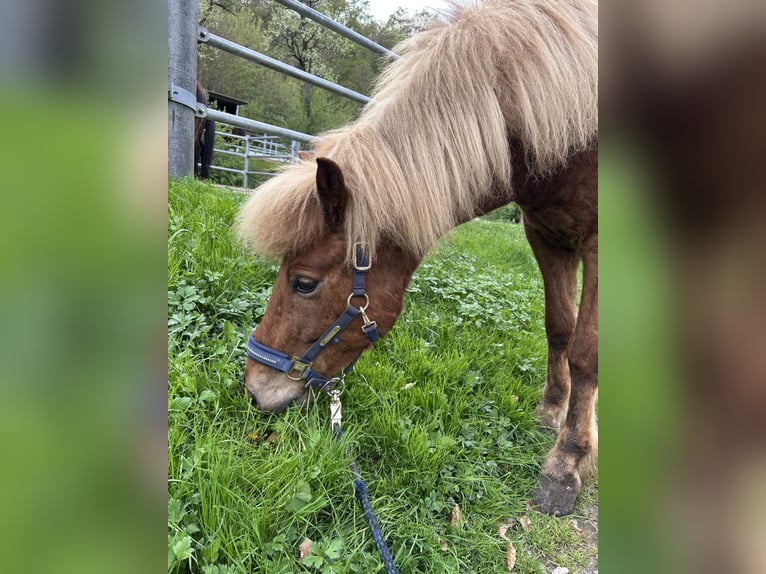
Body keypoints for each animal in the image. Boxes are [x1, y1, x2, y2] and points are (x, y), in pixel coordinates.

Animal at [236, 0, 598, 517]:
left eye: (303, 282)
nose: (254, 388)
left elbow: (586, 352)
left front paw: (566, 464)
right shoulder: (545, 236)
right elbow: (559, 329)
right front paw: (552, 410)